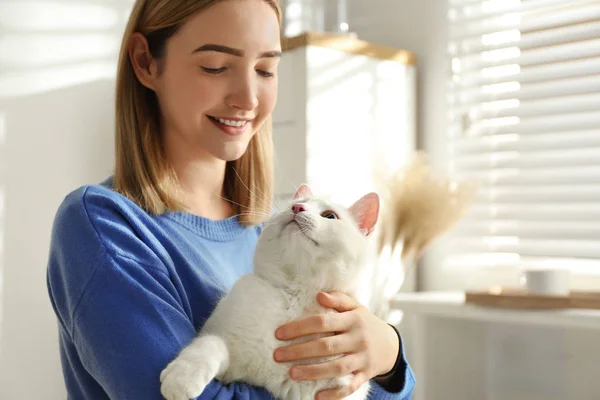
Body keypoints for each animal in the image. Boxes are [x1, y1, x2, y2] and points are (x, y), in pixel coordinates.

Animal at [159, 186, 380, 400]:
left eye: (330, 216)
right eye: (295, 204)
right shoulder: (226, 355)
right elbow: (211, 343)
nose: (297, 209)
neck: (295, 297)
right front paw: (181, 378)